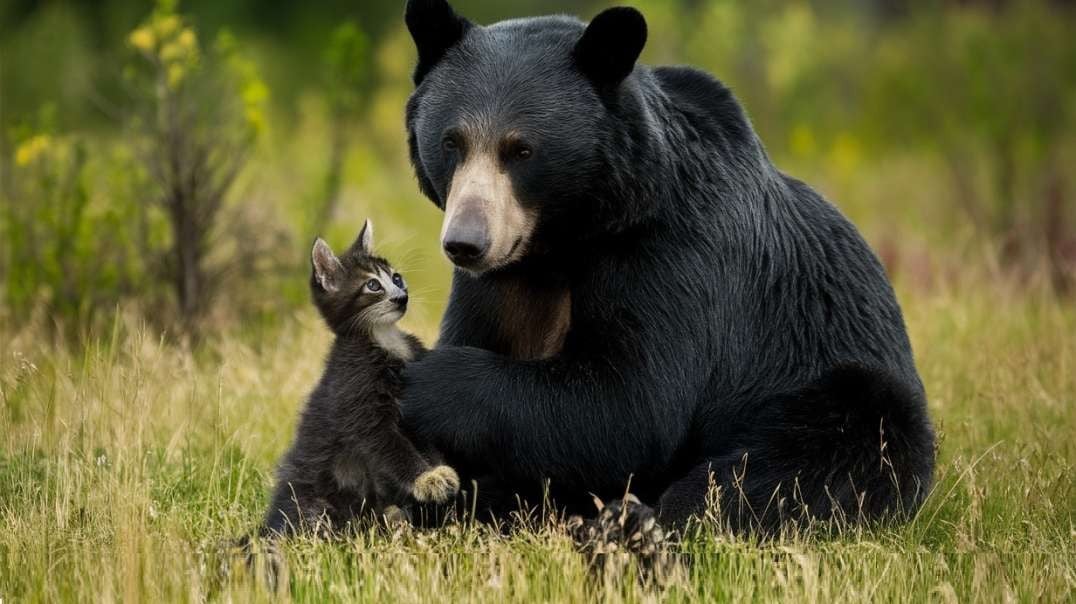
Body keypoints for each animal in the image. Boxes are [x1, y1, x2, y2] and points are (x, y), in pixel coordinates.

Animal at [266, 218, 460, 534]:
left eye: (396, 278)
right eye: (373, 285)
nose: (402, 296)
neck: (383, 337)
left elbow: (422, 438)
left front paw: (438, 471)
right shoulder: (362, 407)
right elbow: (393, 447)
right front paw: (426, 479)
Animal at [395, 1, 933, 536]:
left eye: (521, 149)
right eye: (451, 142)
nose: (466, 243)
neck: (561, 242)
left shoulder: (672, 253)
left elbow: (629, 405)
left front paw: (424, 380)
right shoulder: (498, 286)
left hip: (835, 386)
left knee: (811, 455)